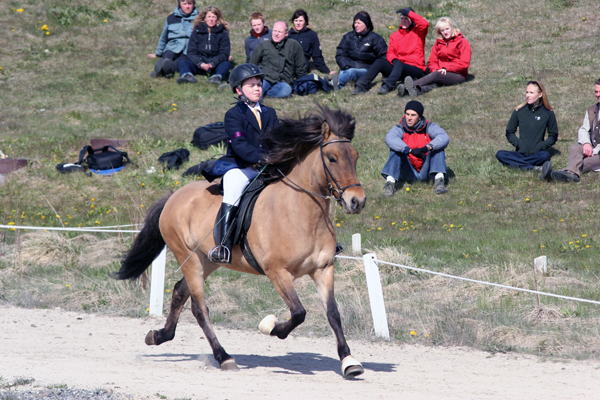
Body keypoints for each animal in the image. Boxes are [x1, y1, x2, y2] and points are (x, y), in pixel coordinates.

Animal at [112, 105, 366, 378]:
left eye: (355, 157)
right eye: (331, 158)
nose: (356, 201)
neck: (304, 214)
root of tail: (174, 196)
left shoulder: (323, 269)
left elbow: (333, 314)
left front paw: (349, 361)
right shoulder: (277, 272)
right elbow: (299, 312)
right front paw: (271, 327)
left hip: (207, 260)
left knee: (180, 291)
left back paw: (158, 336)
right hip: (187, 256)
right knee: (199, 308)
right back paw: (223, 357)